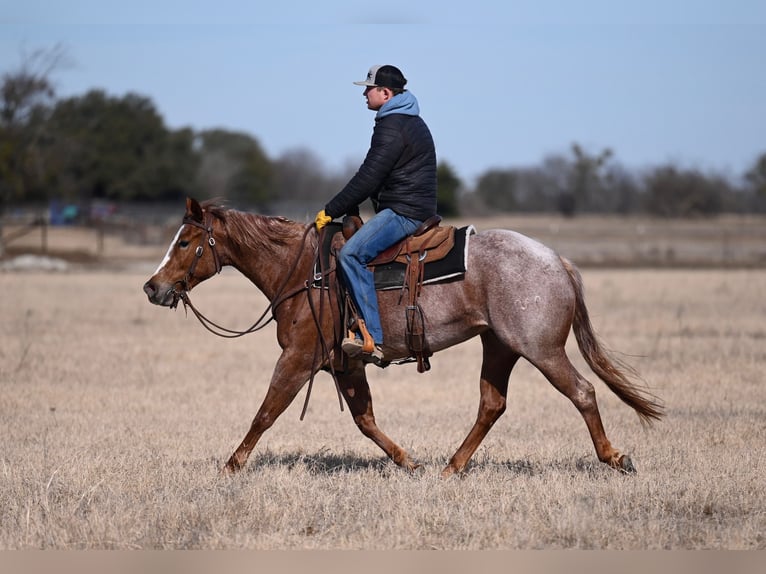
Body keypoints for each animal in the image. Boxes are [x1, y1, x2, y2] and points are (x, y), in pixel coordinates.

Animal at [143, 198, 663, 477]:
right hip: (499, 347)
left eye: (185, 242)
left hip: (542, 350)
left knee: (583, 391)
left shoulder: (298, 358)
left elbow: (266, 412)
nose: (152, 287)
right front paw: (408, 462)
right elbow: (365, 420)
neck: (306, 272)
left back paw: (615, 458)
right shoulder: (344, 364)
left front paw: (230, 467)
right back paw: (452, 467)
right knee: (492, 404)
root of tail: (556, 259)